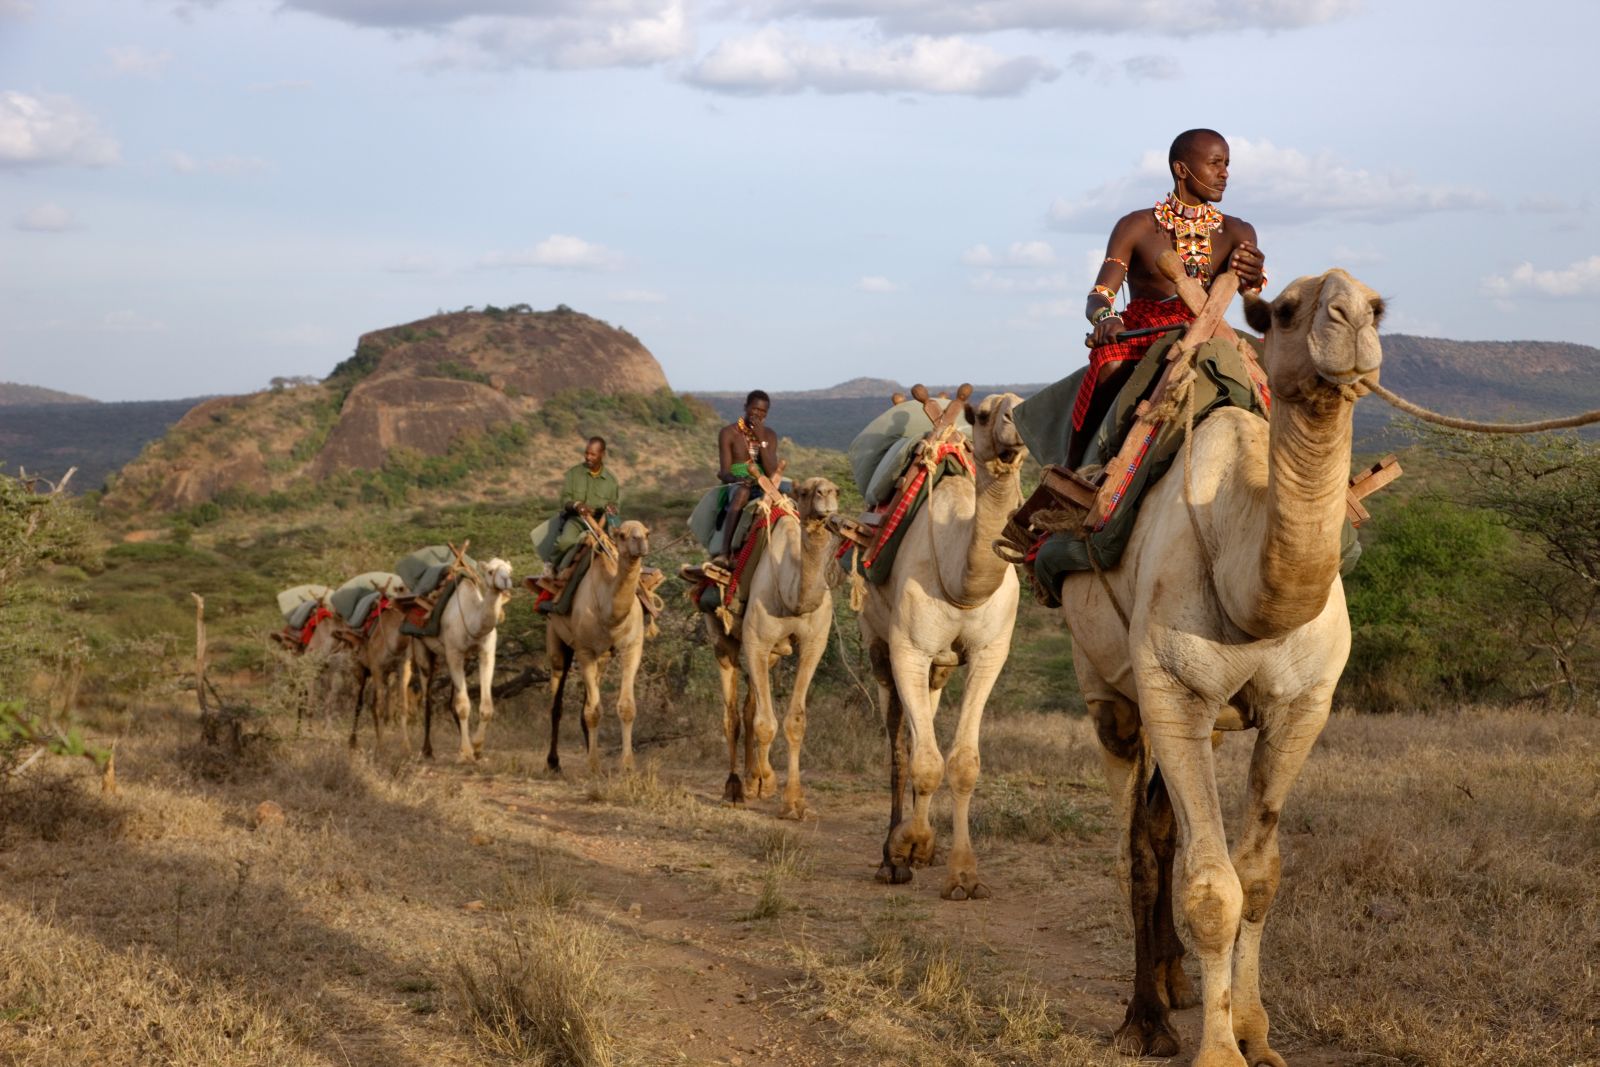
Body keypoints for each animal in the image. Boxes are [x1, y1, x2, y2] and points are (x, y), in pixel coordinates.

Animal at [409, 559, 515, 758]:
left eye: (510, 570)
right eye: (490, 571)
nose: (506, 581)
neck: (472, 620)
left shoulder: (486, 653)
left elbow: (486, 706)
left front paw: (477, 747)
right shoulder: (454, 654)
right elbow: (464, 706)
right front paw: (466, 753)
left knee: (451, 701)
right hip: (420, 647)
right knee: (427, 697)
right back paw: (427, 750)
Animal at [547, 521, 652, 771]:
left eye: (646, 533)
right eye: (622, 535)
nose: (640, 543)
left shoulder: (632, 647)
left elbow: (626, 707)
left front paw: (627, 765)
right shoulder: (585, 650)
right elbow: (593, 711)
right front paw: (593, 766)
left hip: (602, 657)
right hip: (556, 639)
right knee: (556, 701)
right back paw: (553, 762)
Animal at [707, 479, 844, 812]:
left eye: (836, 490)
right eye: (806, 491)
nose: (826, 496)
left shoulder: (813, 646)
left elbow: (794, 721)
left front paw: (793, 801)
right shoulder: (756, 642)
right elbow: (765, 723)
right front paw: (767, 782)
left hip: (772, 655)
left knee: (748, 708)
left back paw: (751, 777)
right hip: (722, 638)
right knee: (732, 716)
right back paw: (735, 788)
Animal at [1068, 268, 1395, 1067]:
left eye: (1378, 306)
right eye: (1285, 310)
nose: (1350, 319)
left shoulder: (1304, 705)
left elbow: (1259, 875)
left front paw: (1254, 1030)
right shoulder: (1172, 692)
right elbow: (1212, 887)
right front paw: (1217, 1050)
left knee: (1158, 832)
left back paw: (1176, 983)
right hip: (1110, 697)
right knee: (1135, 847)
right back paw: (1145, 1018)